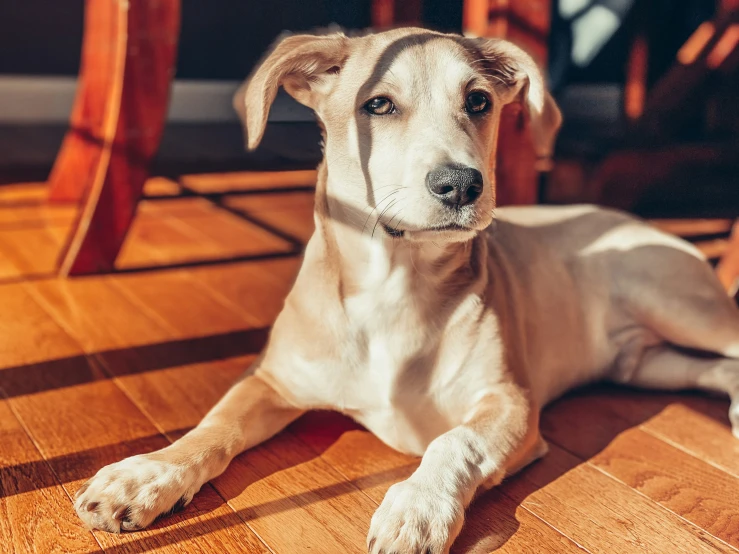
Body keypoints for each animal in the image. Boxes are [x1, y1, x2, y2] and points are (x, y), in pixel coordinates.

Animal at [76, 27, 739, 552]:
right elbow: (216, 426)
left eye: (478, 101)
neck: (395, 288)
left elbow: (453, 441)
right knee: (715, 369)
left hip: (676, 303)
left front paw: (417, 507)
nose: (461, 186)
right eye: (378, 104)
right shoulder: (272, 380)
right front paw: (145, 476)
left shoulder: (510, 404)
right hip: (645, 363)